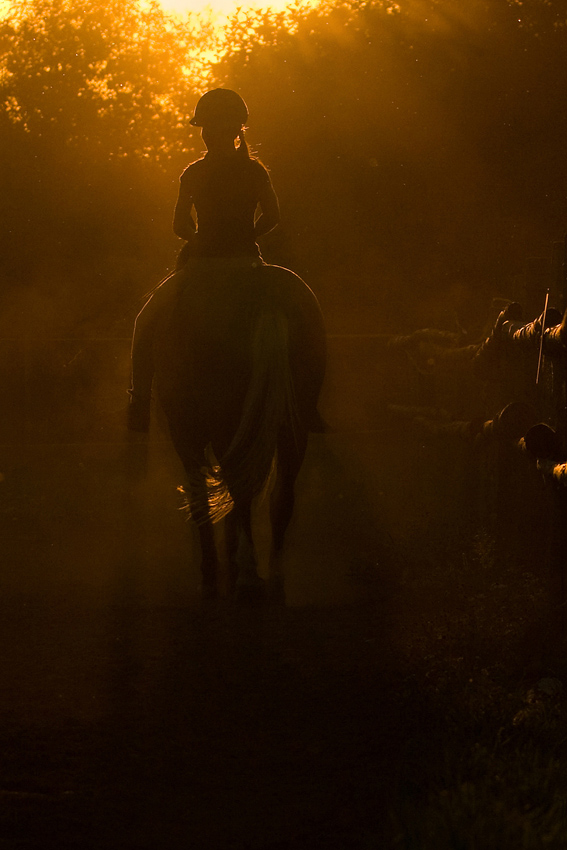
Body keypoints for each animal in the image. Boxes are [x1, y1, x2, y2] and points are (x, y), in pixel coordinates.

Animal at [153, 262, 326, 600]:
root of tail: (266, 297)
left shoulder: (187, 432)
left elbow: (199, 493)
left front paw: (211, 573)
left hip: (226, 419)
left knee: (239, 486)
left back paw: (246, 576)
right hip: (293, 425)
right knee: (282, 493)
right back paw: (273, 576)